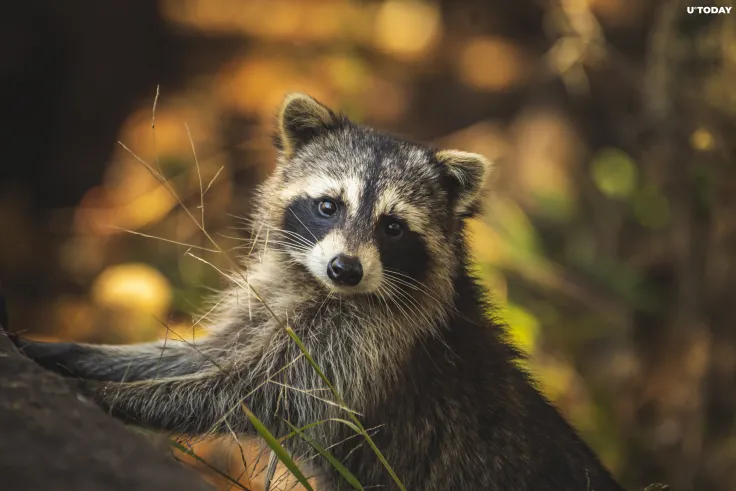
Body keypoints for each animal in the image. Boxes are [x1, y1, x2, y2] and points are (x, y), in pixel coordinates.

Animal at [12, 94, 624, 491]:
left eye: (392, 227)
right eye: (328, 205)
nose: (345, 269)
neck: (321, 290)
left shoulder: (367, 344)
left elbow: (248, 394)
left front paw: (112, 396)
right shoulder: (270, 302)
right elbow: (200, 356)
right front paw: (78, 355)